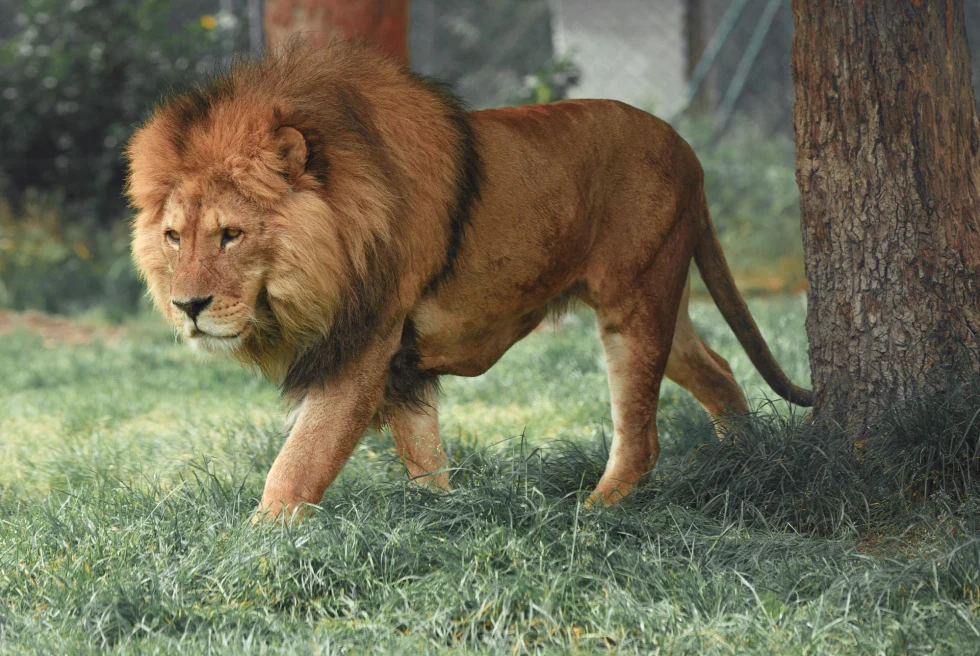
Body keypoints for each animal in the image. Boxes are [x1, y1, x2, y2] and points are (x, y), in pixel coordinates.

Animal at [124, 38, 812, 520]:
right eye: (174, 237)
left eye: (231, 234)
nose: (188, 306)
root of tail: (687, 150)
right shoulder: (400, 363)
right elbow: (423, 456)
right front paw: (446, 518)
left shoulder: (364, 345)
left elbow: (299, 463)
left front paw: (254, 546)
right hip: (660, 294)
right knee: (716, 368)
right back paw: (744, 461)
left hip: (635, 299)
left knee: (641, 435)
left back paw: (591, 515)